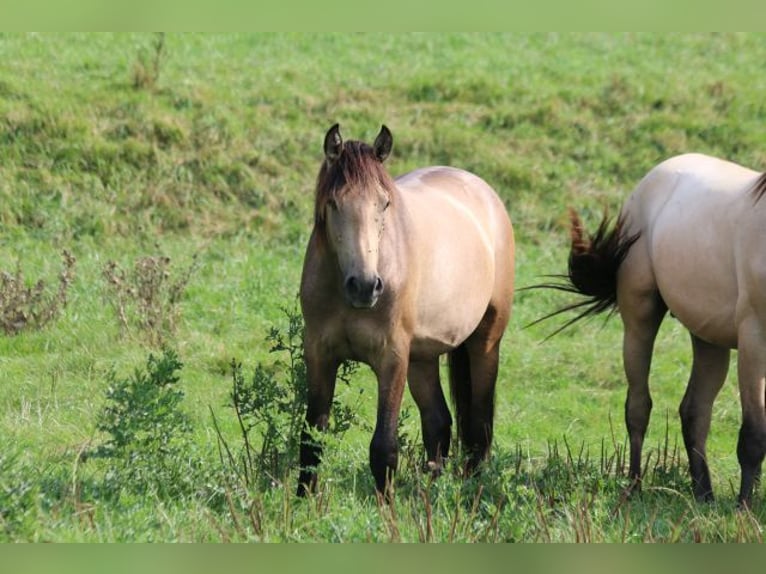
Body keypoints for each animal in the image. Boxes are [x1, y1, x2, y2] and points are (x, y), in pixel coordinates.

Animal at [298, 126, 516, 500]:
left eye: (384, 203)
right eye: (334, 202)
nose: (365, 286)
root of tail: (483, 191)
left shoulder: (392, 357)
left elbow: (383, 447)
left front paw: (386, 508)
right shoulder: (319, 354)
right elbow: (312, 438)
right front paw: (301, 503)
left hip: (485, 341)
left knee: (478, 426)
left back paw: (469, 491)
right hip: (422, 358)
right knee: (439, 423)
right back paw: (430, 491)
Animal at [536, 154, 766, 508]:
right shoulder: (754, 340)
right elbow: (754, 434)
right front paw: (744, 511)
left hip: (707, 336)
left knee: (694, 411)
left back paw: (704, 495)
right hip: (639, 319)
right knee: (638, 406)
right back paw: (634, 486)